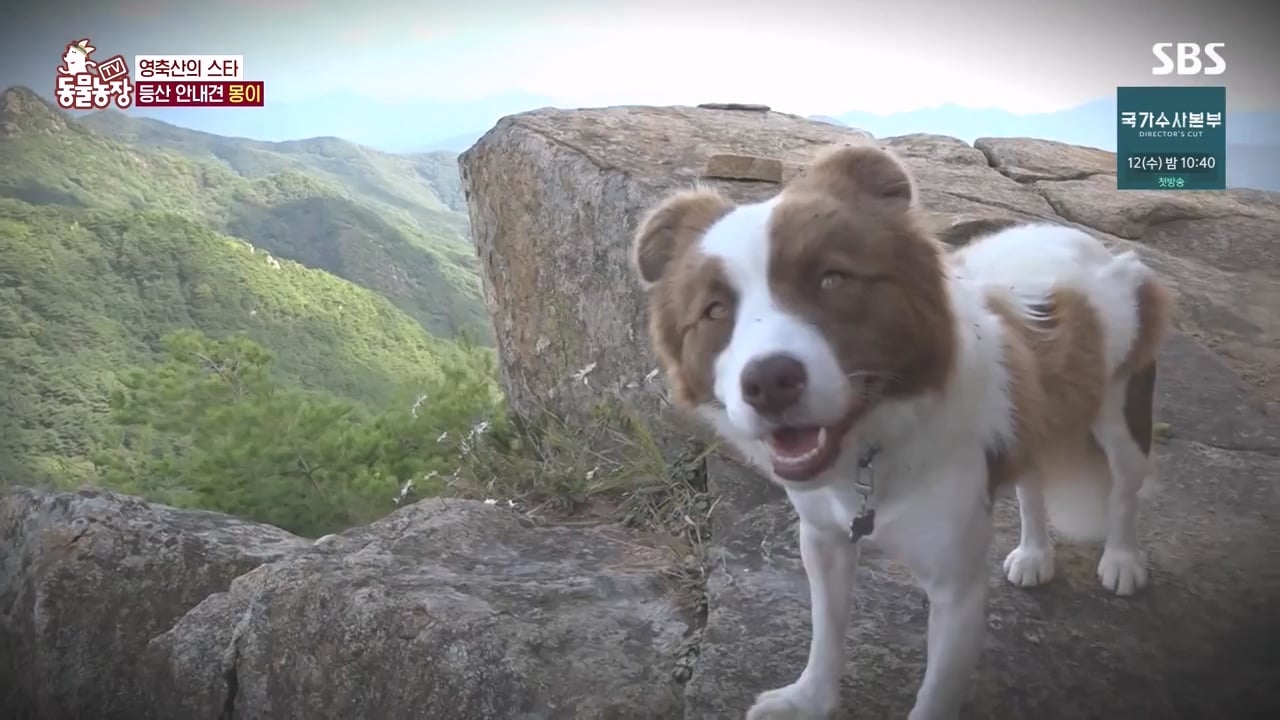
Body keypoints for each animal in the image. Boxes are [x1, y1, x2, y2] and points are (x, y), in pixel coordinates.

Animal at [627, 141, 1172, 717]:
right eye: (714, 311)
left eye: (831, 279)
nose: (769, 383)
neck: (871, 446)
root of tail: (1083, 240)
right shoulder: (822, 540)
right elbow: (826, 632)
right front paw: (809, 698)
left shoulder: (957, 588)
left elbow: (934, 694)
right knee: (1030, 483)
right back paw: (1034, 554)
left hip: (1123, 413)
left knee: (1124, 491)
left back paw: (1122, 560)